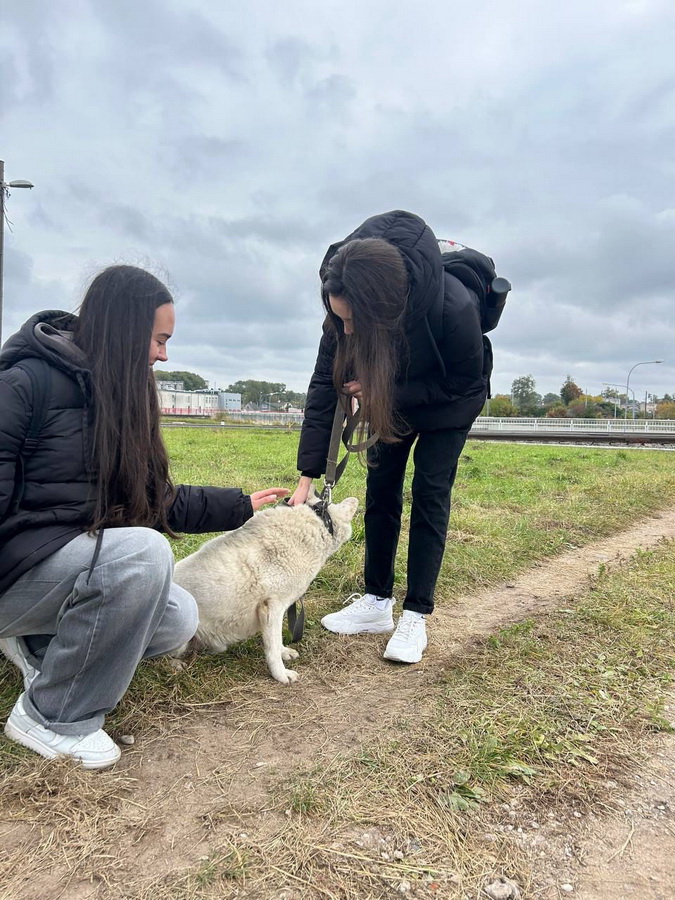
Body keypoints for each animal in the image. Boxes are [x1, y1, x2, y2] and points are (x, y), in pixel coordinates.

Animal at [171, 489, 358, 684]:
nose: (356, 502)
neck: (313, 524)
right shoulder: (272, 608)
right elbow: (272, 648)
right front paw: (281, 675)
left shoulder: (275, 612)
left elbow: (277, 640)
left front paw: (284, 653)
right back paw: (175, 665)